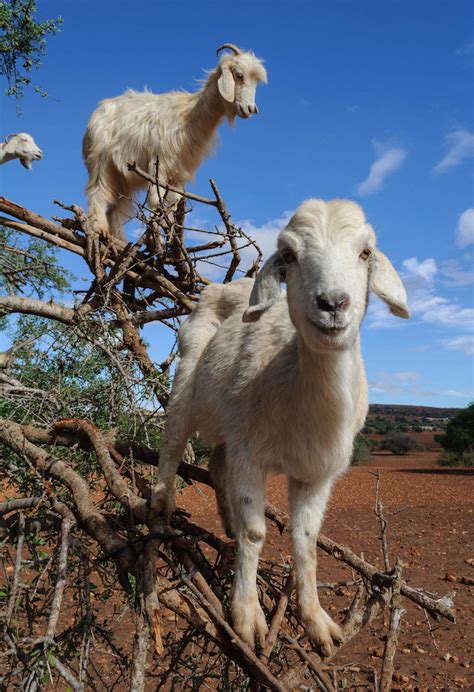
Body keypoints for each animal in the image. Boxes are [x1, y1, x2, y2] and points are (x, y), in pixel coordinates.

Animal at [81, 44, 266, 241]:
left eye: (256, 81)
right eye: (239, 75)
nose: (249, 109)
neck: (188, 116)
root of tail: (97, 112)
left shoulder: (178, 173)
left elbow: (173, 203)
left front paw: (171, 233)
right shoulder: (158, 165)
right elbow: (156, 201)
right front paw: (156, 237)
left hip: (124, 176)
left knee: (116, 208)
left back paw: (119, 240)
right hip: (100, 161)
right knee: (97, 192)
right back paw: (99, 228)